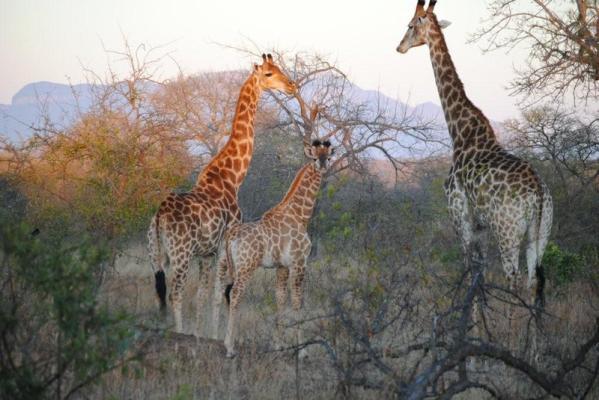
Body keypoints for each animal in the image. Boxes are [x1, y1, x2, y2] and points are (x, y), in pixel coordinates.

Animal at [148, 54, 298, 334]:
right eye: (269, 74)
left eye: (279, 68)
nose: (292, 86)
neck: (231, 177)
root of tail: (160, 215)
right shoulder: (223, 245)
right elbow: (219, 293)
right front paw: (215, 335)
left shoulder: (206, 252)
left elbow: (203, 295)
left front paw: (202, 332)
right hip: (181, 254)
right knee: (175, 293)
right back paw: (179, 333)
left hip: (157, 254)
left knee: (160, 293)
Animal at [210, 139, 332, 358]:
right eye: (314, 156)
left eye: (329, 155)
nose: (323, 164)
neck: (300, 214)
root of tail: (231, 235)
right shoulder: (299, 262)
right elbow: (298, 301)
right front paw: (302, 351)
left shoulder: (281, 266)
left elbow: (280, 299)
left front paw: (279, 345)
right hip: (246, 266)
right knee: (235, 294)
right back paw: (230, 347)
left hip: (222, 262)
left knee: (217, 292)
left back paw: (215, 337)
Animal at [396, 0, 556, 324]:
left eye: (410, 25)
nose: (399, 47)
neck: (461, 132)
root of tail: (537, 193)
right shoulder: (481, 227)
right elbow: (479, 278)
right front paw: (480, 325)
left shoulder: (461, 217)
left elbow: (470, 273)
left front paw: (469, 330)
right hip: (540, 232)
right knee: (534, 281)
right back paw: (533, 340)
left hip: (507, 232)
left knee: (514, 280)